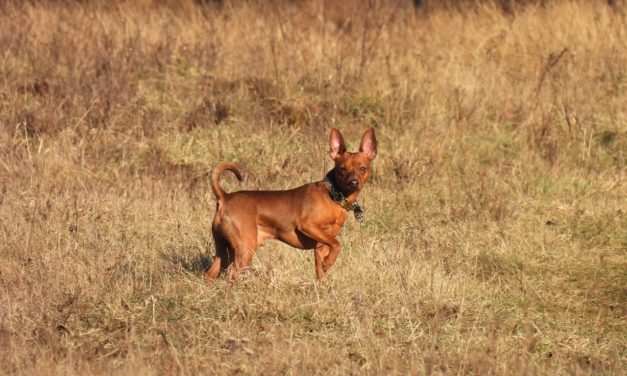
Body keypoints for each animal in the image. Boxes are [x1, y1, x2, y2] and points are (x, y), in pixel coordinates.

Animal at [205, 128, 378, 280]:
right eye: (342, 169)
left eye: (363, 168)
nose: (353, 183)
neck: (333, 196)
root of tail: (225, 196)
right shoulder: (308, 226)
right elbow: (337, 244)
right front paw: (328, 263)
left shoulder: (320, 248)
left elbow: (322, 272)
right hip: (245, 249)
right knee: (231, 276)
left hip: (224, 250)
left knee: (210, 274)